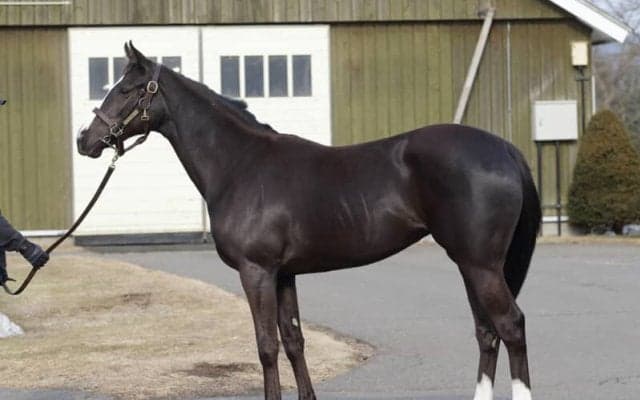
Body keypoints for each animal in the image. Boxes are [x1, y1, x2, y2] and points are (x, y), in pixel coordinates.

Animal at [77, 42, 540, 400]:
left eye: (128, 89)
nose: (85, 140)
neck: (240, 164)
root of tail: (505, 149)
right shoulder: (284, 274)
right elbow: (294, 341)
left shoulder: (257, 271)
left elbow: (266, 346)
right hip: (471, 264)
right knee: (486, 331)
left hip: (480, 265)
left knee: (511, 325)